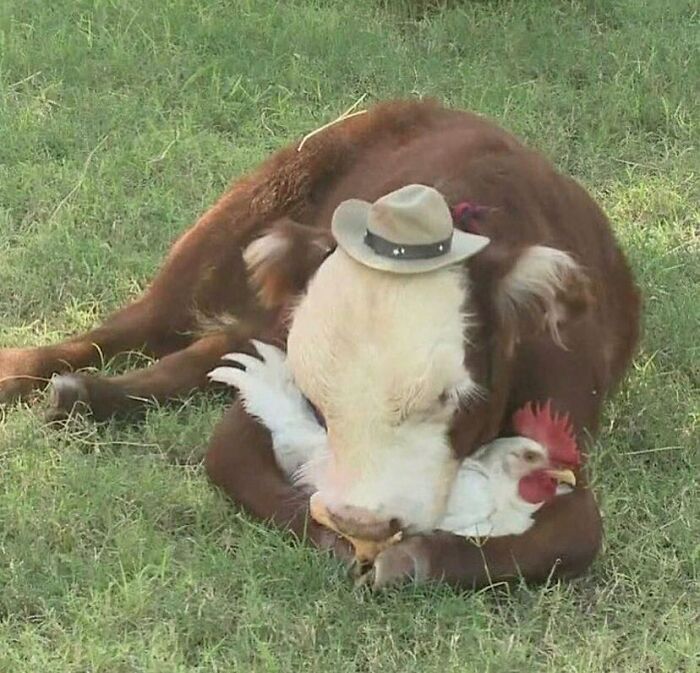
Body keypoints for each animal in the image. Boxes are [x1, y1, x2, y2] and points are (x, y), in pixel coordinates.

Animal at [0, 100, 640, 589]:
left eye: (449, 398)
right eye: (316, 393)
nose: (363, 521)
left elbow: (579, 532)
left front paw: (409, 559)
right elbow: (244, 465)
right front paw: (344, 545)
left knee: (210, 346)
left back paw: (83, 396)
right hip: (246, 210)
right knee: (144, 322)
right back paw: (36, 376)